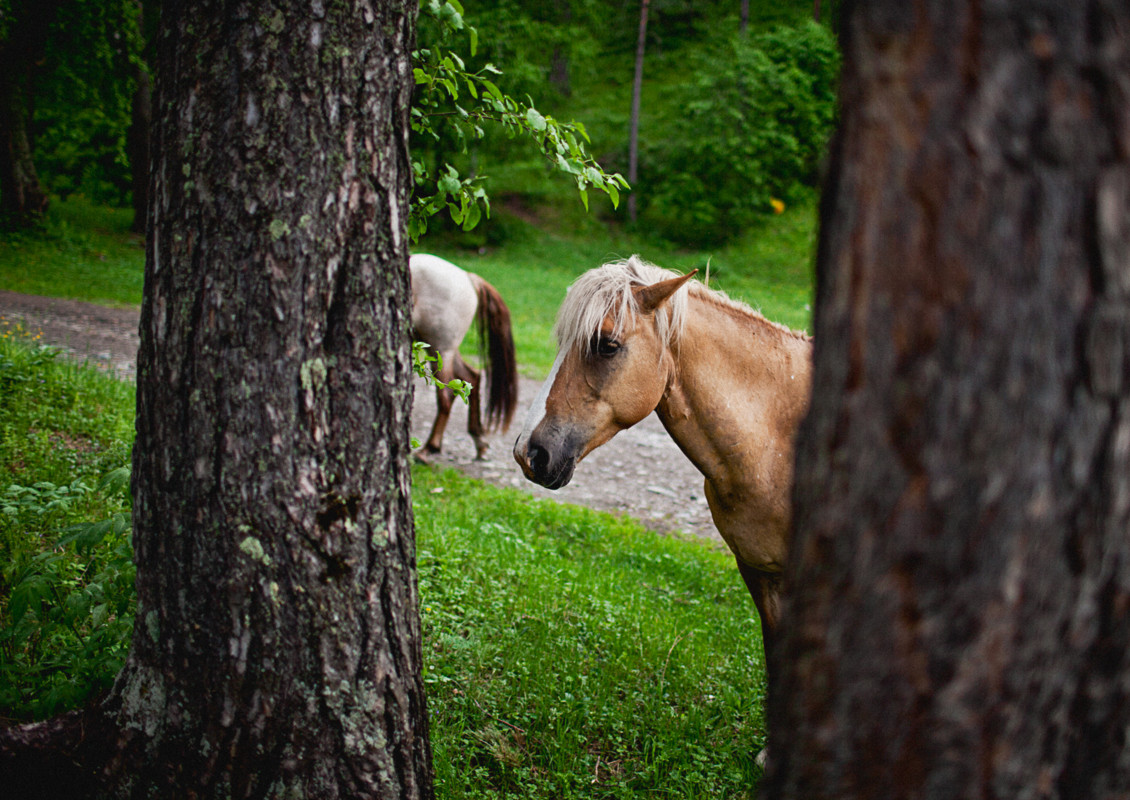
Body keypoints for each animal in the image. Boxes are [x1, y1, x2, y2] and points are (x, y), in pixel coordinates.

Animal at [409, 253, 517, 458]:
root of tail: (467, 277)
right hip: (440, 348)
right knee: (471, 377)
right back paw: (479, 440)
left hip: (441, 347)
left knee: (445, 396)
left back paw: (430, 448)